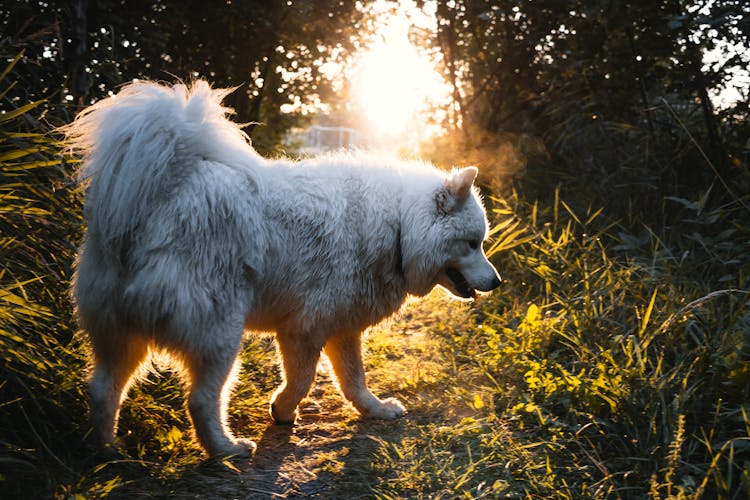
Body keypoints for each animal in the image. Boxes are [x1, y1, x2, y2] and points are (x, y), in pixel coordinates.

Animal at [64, 81, 500, 458]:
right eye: (472, 243)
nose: (496, 282)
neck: (398, 227)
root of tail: (162, 193)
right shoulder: (305, 329)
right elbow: (304, 379)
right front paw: (282, 409)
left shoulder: (342, 328)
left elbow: (354, 381)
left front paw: (375, 410)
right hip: (219, 335)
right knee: (201, 400)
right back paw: (226, 449)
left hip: (120, 336)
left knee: (103, 389)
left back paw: (107, 449)